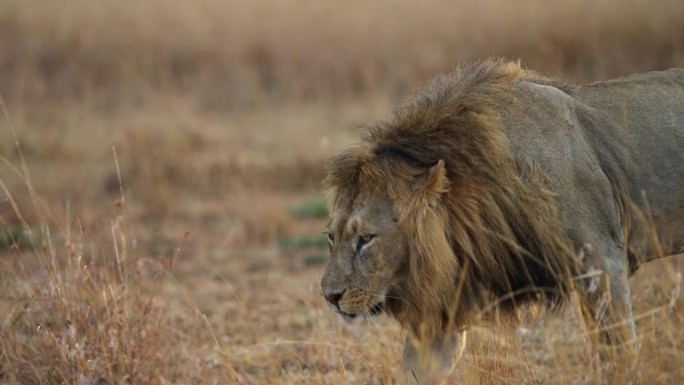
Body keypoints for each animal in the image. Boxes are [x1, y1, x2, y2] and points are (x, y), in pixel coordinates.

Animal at [320, 58, 684, 382]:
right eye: (330, 237)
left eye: (366, 239)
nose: (329, 296)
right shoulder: (446, 310)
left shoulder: (602, 262)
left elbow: (619, 354)